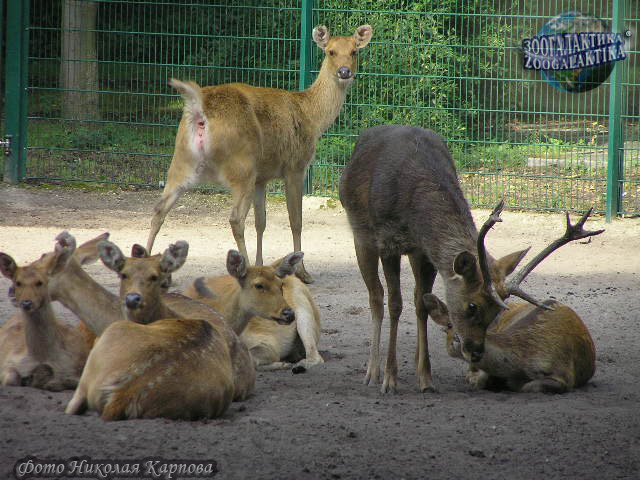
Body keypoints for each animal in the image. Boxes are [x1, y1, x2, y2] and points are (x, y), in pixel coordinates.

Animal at [145, 24, 373, 284]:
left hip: (181, 160)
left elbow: (261, 222)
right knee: (235, 218)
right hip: (241, 165)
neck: (311, 117)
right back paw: (243, 269)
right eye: (331, 51)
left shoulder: (263, 177)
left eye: (354, 51)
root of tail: (199, 109)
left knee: (158, 210)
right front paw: (303, 271)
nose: (345, 72)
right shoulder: (295, 166)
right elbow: (296, 221)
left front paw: (261, 263)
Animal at [183, 256, 323, 370]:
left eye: (280, 285)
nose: (288, 313)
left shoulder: (267, 342)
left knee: (315, 357)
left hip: (304, 313)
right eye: (258, 285)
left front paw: (282, 364)